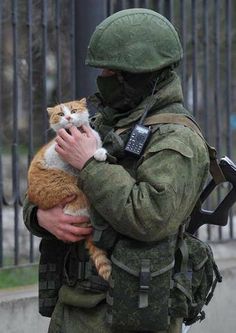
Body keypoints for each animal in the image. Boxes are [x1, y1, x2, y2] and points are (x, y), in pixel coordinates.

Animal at [27, 98, 111, 280]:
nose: (68, 117)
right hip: (70, 187)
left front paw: (100, 153)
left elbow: (97, 148)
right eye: (60, 114)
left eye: (73, 111)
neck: (76, 132)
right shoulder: (54, 155)